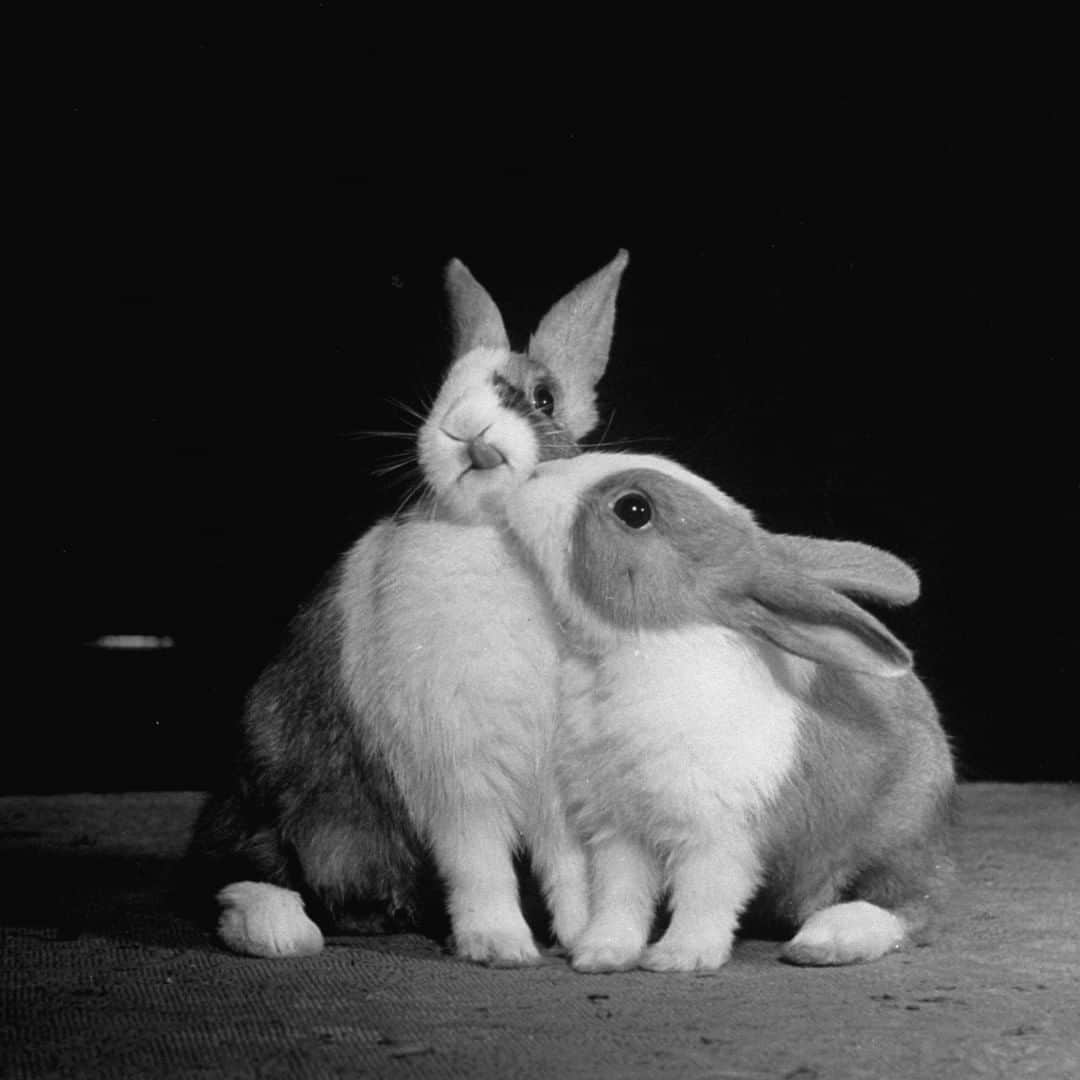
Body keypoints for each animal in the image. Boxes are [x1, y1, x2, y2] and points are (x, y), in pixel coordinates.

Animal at [192, 250, 630, 963]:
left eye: (543, 398)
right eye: (442, 392)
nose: (464, 429)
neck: (495, 530)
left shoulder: (555, 783)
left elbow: (568, 866)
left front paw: (579, 937)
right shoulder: (455, 772)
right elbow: (479, 862)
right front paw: (498, 944)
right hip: (282, 804)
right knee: (241, 875)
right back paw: (281, 931)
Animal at [501, 451, 959, 976]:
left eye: (634, 510)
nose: (535, 474)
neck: (637, 648)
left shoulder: (718, 835)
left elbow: (705, 898)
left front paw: (680, 957)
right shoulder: (620, 831)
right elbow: (621, 898)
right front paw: (602, 954)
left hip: (897, 838)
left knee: (913, 906)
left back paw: (828, 938)